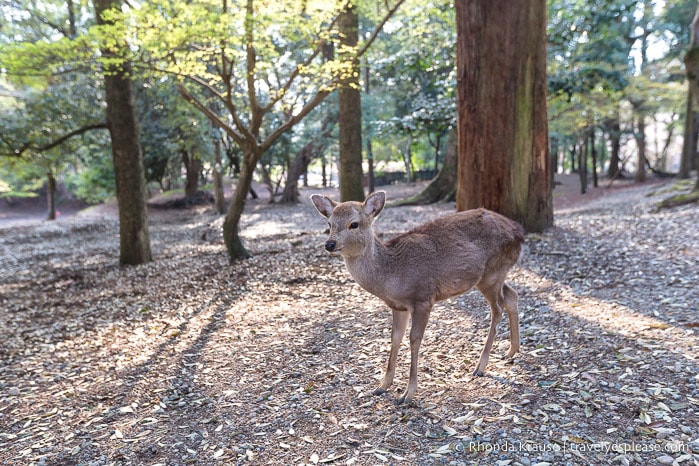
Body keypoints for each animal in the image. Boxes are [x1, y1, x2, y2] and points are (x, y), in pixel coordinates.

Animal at [312, 191, 524, 406]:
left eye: (354, 224)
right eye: (329, 223)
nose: (329, 244)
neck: (390, 276)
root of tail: (519, 231)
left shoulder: (423, 298)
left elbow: (414, 340)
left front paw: (408, 394)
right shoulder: (398, 306)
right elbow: (395, 338)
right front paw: (382, 386)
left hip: (491, 272)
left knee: (497, 308)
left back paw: (480, 366)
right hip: (495, 274)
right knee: (511, 295)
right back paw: (511, 351)